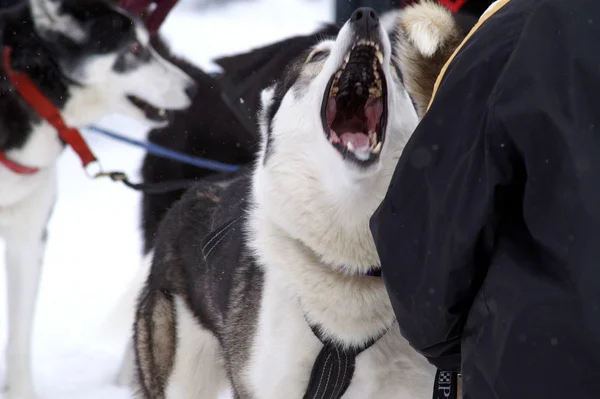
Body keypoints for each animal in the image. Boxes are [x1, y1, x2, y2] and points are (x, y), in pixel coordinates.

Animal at [0, 1, 195, 398]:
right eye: (134, 48)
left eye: (147, 43)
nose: (193, 88)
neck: (26, 87)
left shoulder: (28, 238)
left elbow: (19, 340)